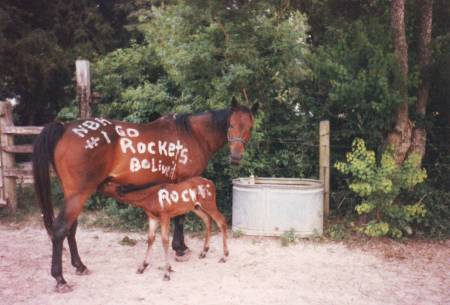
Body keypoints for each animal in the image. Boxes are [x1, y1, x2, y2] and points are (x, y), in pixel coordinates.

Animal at [99, 176, 229, 280]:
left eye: (108, 183)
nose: (97, 186)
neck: (150, 196)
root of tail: (210, 182)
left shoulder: (165, 216)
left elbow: (165, 240)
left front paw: (167, 273)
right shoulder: (152, 218)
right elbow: (150, 239)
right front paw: (142, 267)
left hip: (209, 204)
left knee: (221, 221)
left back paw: (224, 256)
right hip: (196, 207)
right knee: (208, 220)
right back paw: (204, 252)